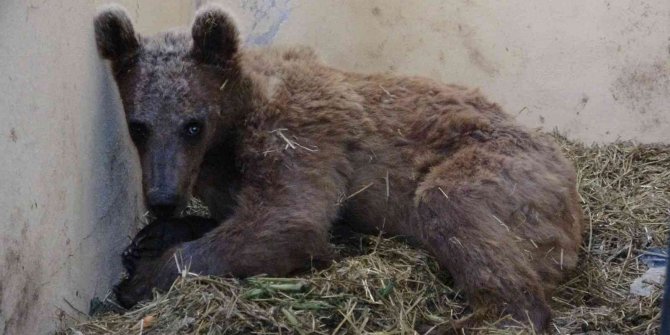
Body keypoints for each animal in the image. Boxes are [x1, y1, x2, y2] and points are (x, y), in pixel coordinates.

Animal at [93, 3, 584, 334]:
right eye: (138, 126)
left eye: (192, 125)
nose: (162, 198)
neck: (229, 134)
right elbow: (235, 215)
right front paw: (150, 238)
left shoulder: (298, 135)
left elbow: (286, 221)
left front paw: (140, 279)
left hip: (504, 168)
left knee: (456, 211)